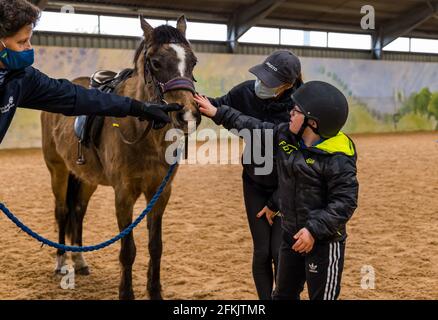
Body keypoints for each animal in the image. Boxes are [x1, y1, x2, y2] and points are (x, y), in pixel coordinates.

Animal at [39, 15, 200, 300]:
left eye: (192, 61)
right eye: (156, 62)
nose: (188, 114)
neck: (143, 133)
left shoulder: (160, 192)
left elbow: (155, 246)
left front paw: (154, 291)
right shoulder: (123, 194)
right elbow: (128, 251)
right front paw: (126, 293)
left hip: (86, 179)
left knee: (78, 211)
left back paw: (80, 261)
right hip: (57, 171)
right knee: (62, 211)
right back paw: (61, 263)